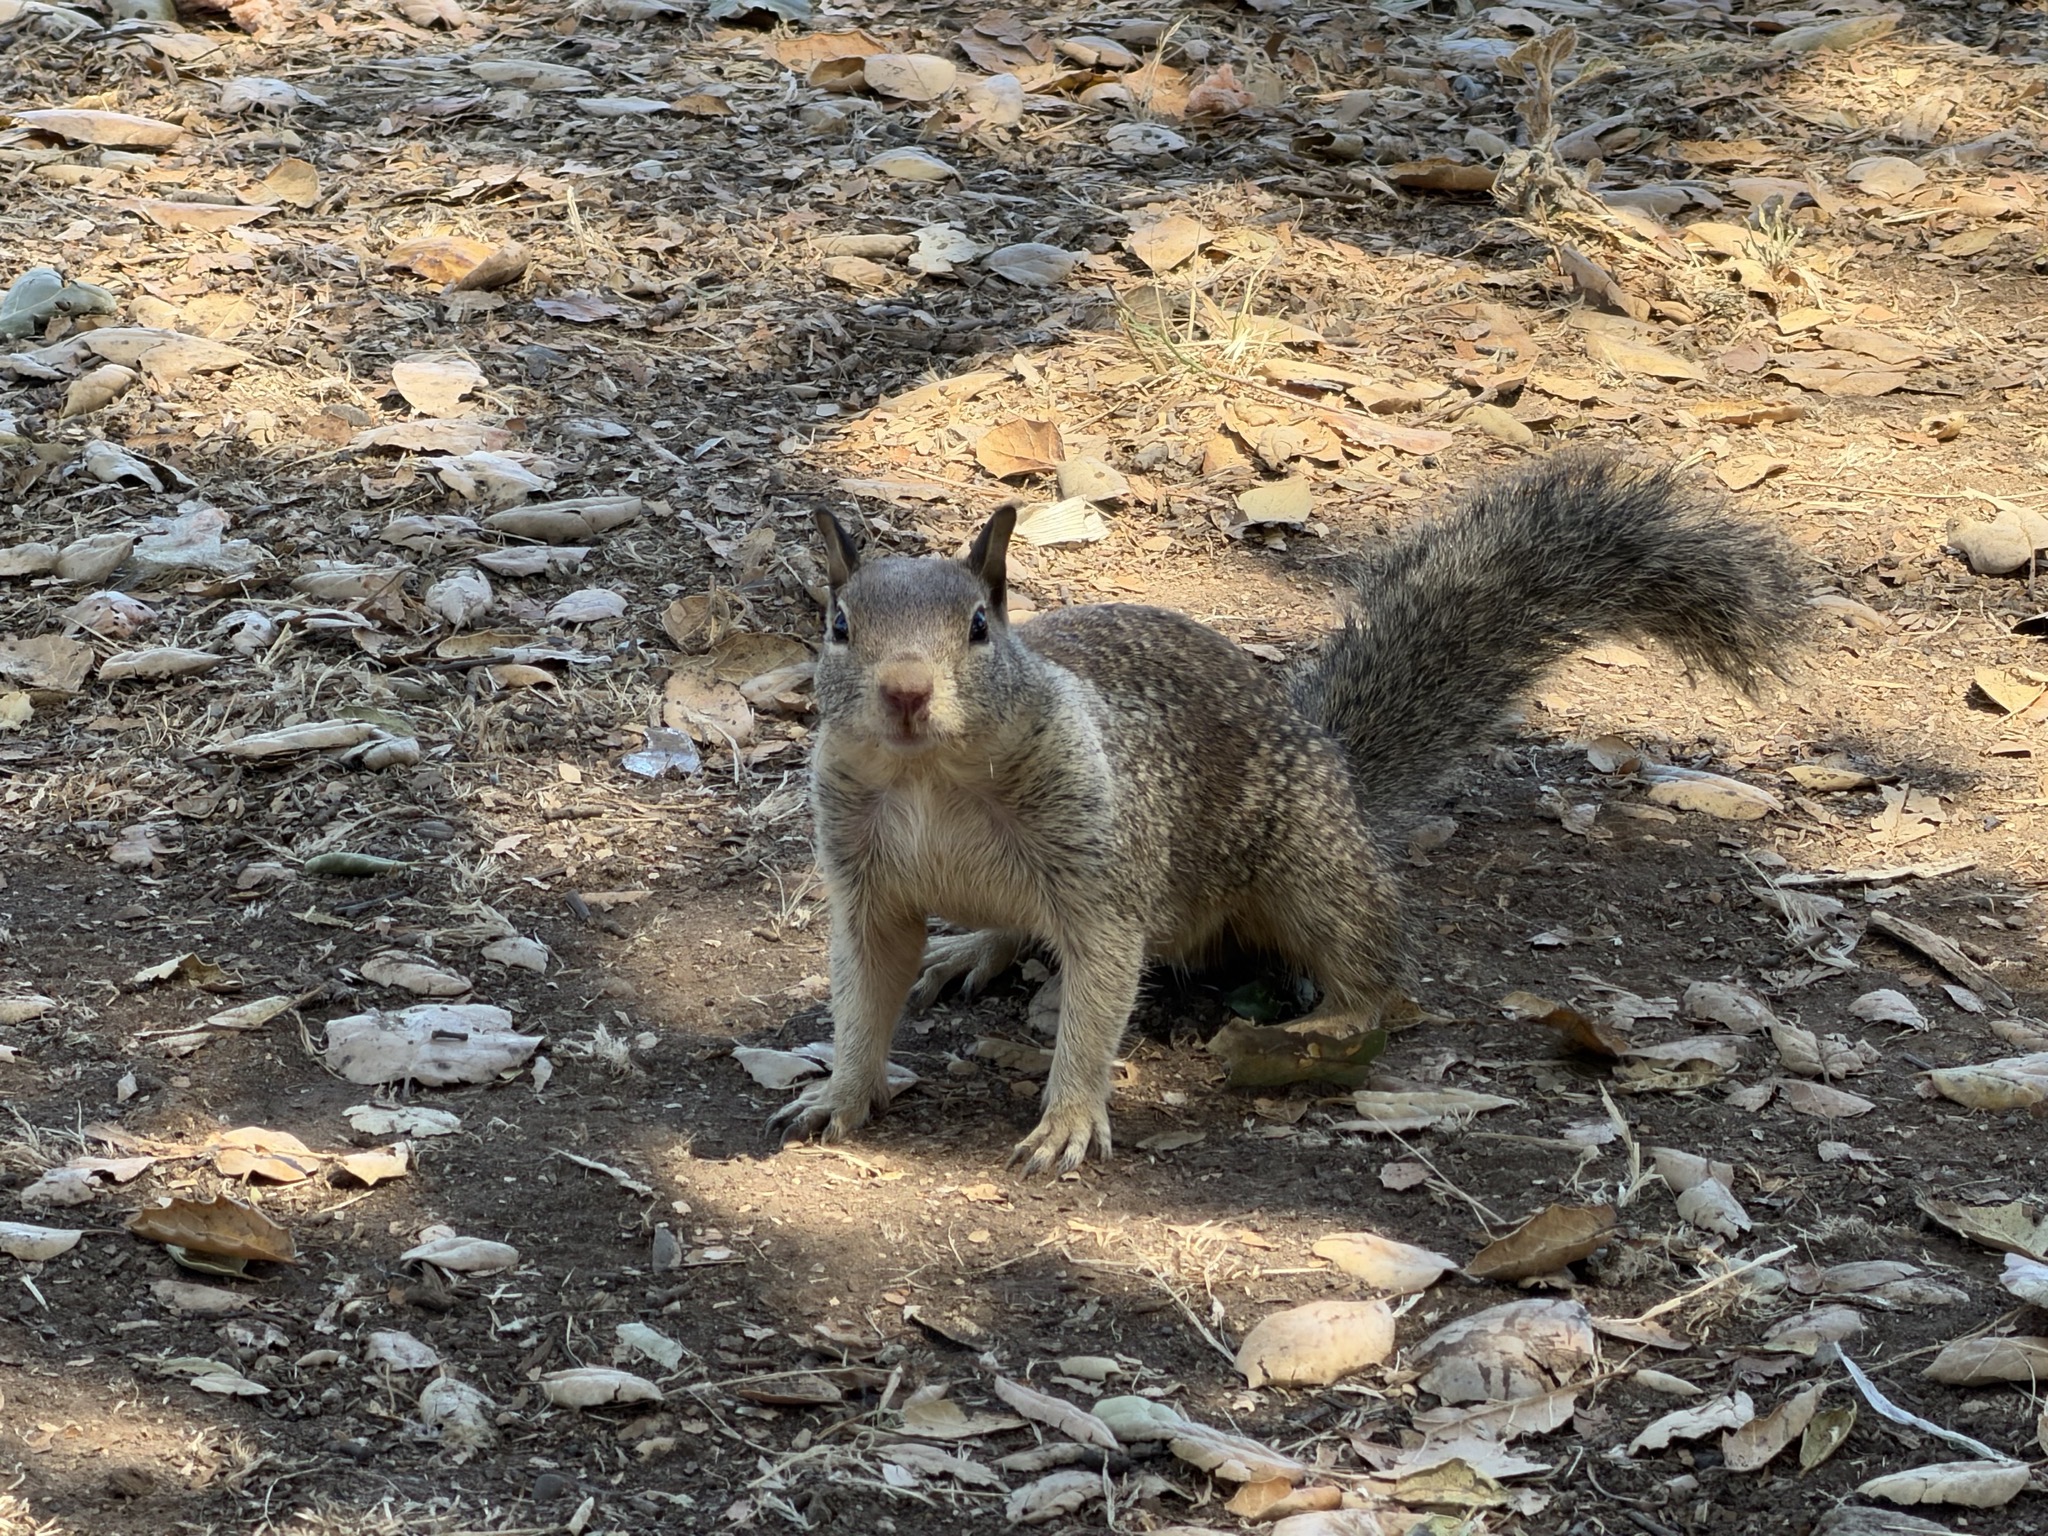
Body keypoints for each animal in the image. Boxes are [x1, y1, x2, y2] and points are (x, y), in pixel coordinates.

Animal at [770, 454, 1807, 1174]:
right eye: (837, 625)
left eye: (981, 627)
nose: (906, 692)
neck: (934, 780)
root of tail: (1336, 762)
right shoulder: (864, 886)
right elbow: (866, 991)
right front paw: (841, 1092)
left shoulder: (1104, 870)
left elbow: (1100, 992)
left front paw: (1066, 1118)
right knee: (1011, 931)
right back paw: (970, 951)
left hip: (1312, 869)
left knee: (1370, 970)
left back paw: (1321, 1024)